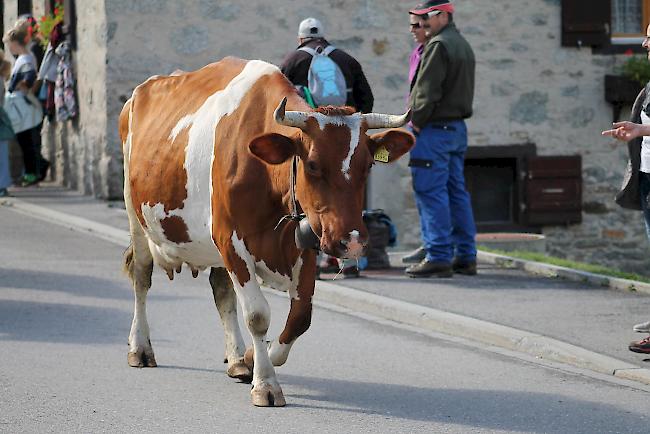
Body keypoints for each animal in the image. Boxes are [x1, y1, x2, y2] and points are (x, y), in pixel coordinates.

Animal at [119, 57, 412, 406]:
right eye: (312, 164)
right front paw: (266, 384)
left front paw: (250, 359)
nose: (352, 241)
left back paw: (236, 360)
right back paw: (140, 348)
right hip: (135, 213)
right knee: (141, 277)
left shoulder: (305, 242)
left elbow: (300, 317)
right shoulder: (231, 239)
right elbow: (257, 315)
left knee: (222, 291)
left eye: (367, 165)